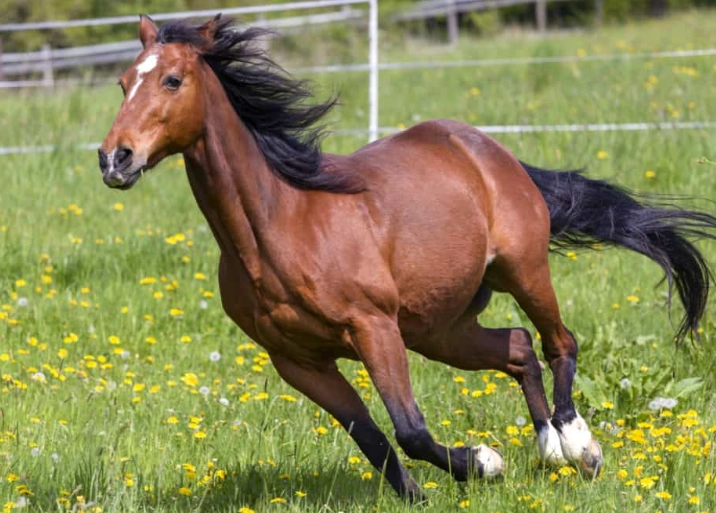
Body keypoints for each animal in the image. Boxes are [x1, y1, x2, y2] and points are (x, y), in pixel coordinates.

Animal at [98, 15, 716, 500]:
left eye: (172, 79)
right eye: (124, 82)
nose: (114, 158)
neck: (280, 225)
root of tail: (490, 150)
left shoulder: (372, 328)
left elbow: (410, 429)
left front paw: (485, 461)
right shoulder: (298, 361)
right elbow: (372, 438)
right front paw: (428, 490)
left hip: (521, 271)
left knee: (558, 342)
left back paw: (580, 447)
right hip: (438, 328)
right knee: (519, 349)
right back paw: (547, 452)